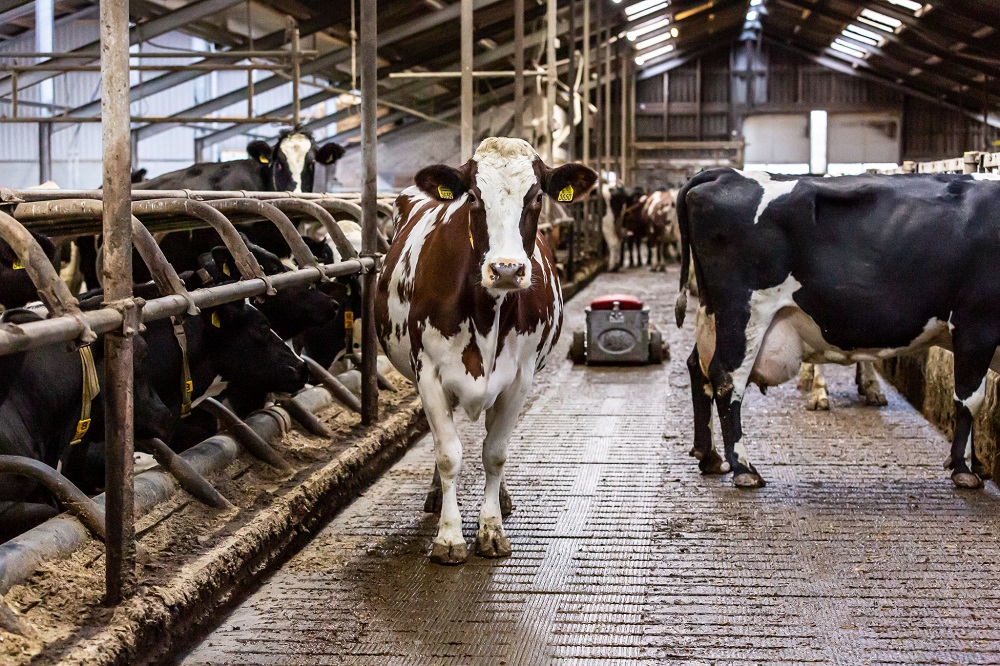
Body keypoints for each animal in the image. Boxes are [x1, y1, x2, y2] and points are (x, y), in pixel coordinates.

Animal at [374, 137, 592, 564]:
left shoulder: (519, 378)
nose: (507, 269)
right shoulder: (429, 374)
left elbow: (495, 451)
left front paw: (491, 529)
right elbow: (448, 453)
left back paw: (502, 499)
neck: (486, 315)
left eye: (537, 197)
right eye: (473, 196)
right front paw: (449, 537)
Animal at [672, 166, 1000, 488]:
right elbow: (970, 399)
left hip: (714, 315)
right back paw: (744, 468)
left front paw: (978, 465)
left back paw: (710, 457)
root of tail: (724, 173)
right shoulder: (976, 323)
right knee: (727, 377)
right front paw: (964, 469)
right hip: (745, 311)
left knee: (698, 366)